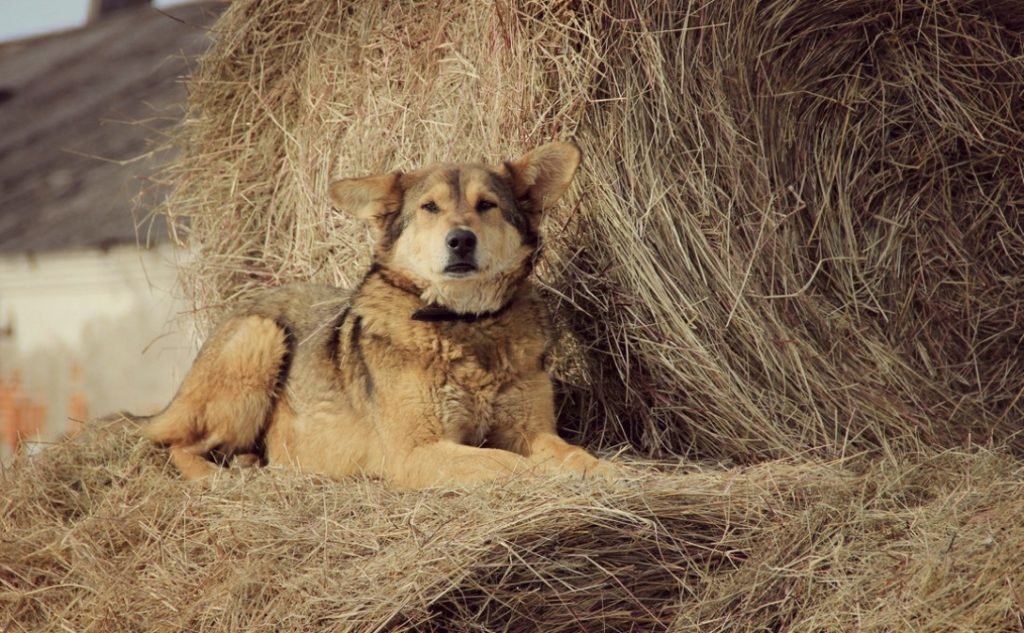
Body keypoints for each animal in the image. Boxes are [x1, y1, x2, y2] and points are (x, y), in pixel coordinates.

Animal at [139, 144, 610, 487]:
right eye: (430, 208)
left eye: (487, 205)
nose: (460, 240)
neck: (464, 323)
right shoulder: (416, 452)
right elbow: (504, 464)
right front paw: (548, 478)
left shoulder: (530, 431)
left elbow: (571, 453)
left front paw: (607, 472)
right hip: (259, 342)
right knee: (176, 446)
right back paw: (216, 477)